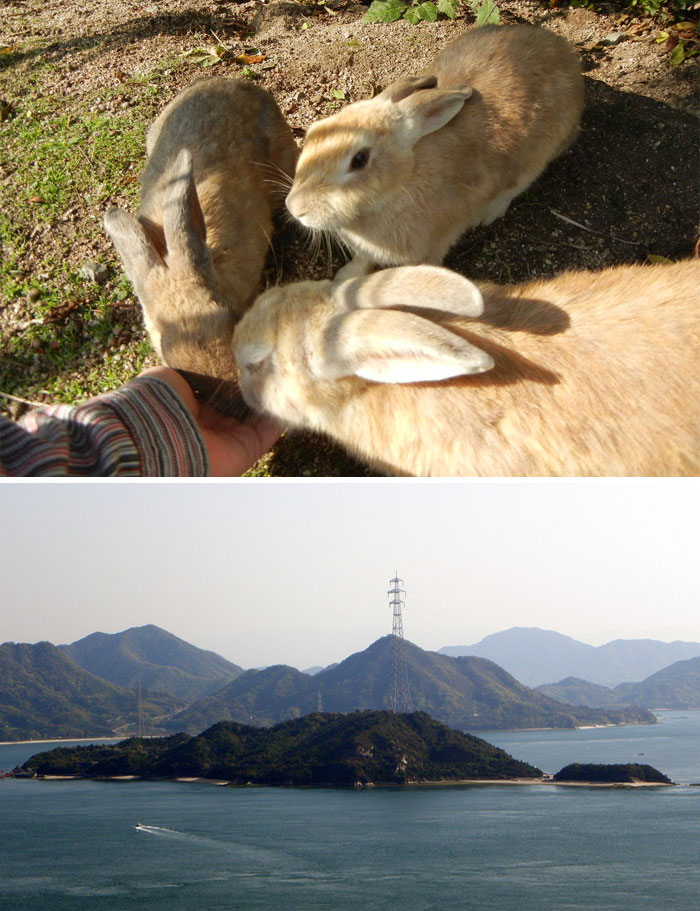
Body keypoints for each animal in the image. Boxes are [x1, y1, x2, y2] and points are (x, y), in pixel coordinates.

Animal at [284, 26, 584, 280]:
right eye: (314, 132)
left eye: (359, 160)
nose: (295, 208)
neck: (400, 186)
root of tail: (564, 51)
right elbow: (362, 260)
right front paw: (344, 278)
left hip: (537, 158)